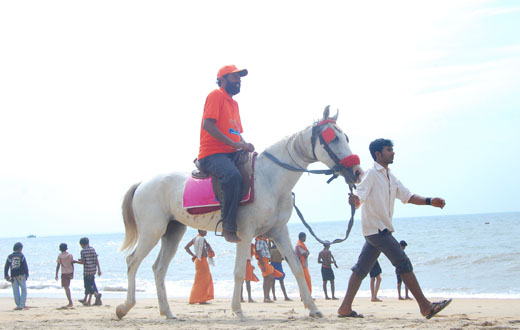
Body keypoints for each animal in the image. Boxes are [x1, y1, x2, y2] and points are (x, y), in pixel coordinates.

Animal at [117, 106, 362, 320]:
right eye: (333, 138)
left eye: (346, 137)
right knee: (132, 261)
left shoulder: (279, 232)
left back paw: (167, 312)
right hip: (152, 231)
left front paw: (313, 308)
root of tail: (142, 184)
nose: (357, 172)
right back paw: (124, 307)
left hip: (172, 232)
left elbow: (296, 268)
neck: (270, 179)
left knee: (159, 269)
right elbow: (238, 272)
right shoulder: (245, 233)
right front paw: (238, 310)